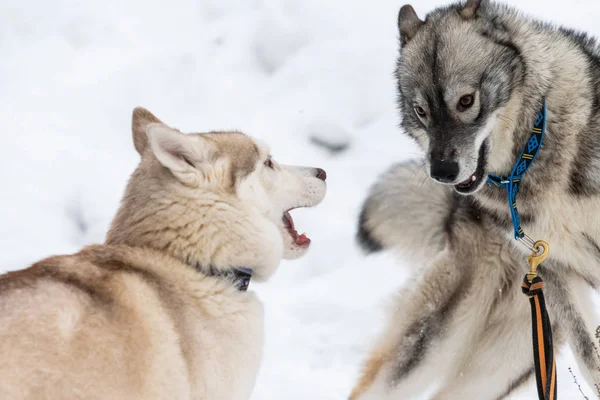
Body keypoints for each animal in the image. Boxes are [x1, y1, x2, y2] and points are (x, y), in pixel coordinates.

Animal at [352, 1, 600, 398]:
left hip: (511, 355)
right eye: (422, 111)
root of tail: (454, 216)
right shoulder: (558, 274)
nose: (442, 171)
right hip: (450, 340)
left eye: (466, 101)